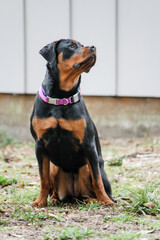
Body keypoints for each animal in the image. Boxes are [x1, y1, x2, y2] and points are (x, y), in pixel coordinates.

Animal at [30, 39, 114, 206]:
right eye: (72, 46)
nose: (93, 47)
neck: (61, 98)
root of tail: (74, 195)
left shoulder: (88, 144)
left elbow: (97, 180)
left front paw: (106, 201)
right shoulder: (40, 145)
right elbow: (44, 179)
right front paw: (40, 201)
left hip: (87, 166)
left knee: (96, 183)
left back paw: (95, 200)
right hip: (54, 167)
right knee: (54, 188)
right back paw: (54, 199)